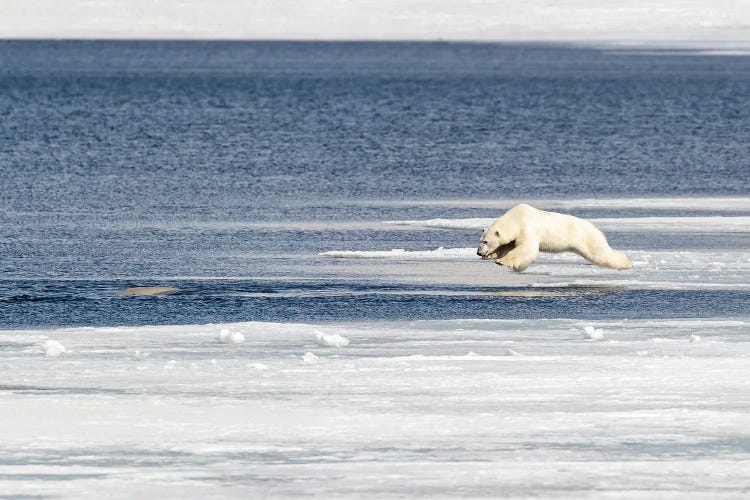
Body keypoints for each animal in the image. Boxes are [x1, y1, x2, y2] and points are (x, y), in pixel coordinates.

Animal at [478, 203, 632, 272]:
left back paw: (626, 263)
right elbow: (507, 245)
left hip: (587, 237)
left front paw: (501, 262)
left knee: (600, 253)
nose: (478, 252)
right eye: (480, 240)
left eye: (485, 241)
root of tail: (595, 228)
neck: (516, 218)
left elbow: (526, 249)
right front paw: (491, 255)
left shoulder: (528, 228)